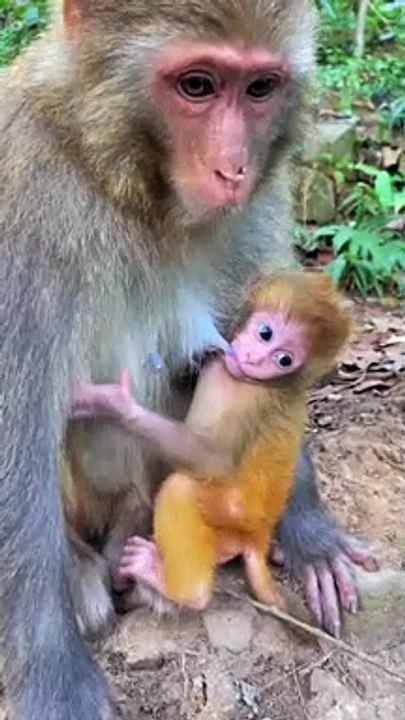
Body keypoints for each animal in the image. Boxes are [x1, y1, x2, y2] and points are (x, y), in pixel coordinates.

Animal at [70, 272, 353, 614]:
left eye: (284, 359)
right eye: (266, 333)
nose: (256, 358)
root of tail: (257, 538)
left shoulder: (239, 393)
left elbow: (209, 458)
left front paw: (115, 405)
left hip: (228, 516)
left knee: (180, 489)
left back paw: (174, 585)